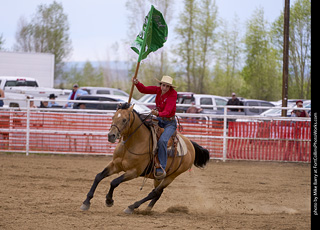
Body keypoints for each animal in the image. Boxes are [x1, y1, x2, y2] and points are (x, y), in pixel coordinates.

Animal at [80, 103, 210, 213]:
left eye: (124, 119)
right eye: (113, 117)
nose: (111, 136)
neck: (131, 144)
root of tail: (190, 144)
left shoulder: (134, 172)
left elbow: (114, 182)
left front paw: (109, 200)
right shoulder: (115, 165)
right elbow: (98, 176)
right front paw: (86, 202)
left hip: (172, 176)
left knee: (155, 192)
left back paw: (132, 207)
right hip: (159, 176)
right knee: (158, 193)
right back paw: (147, 209)